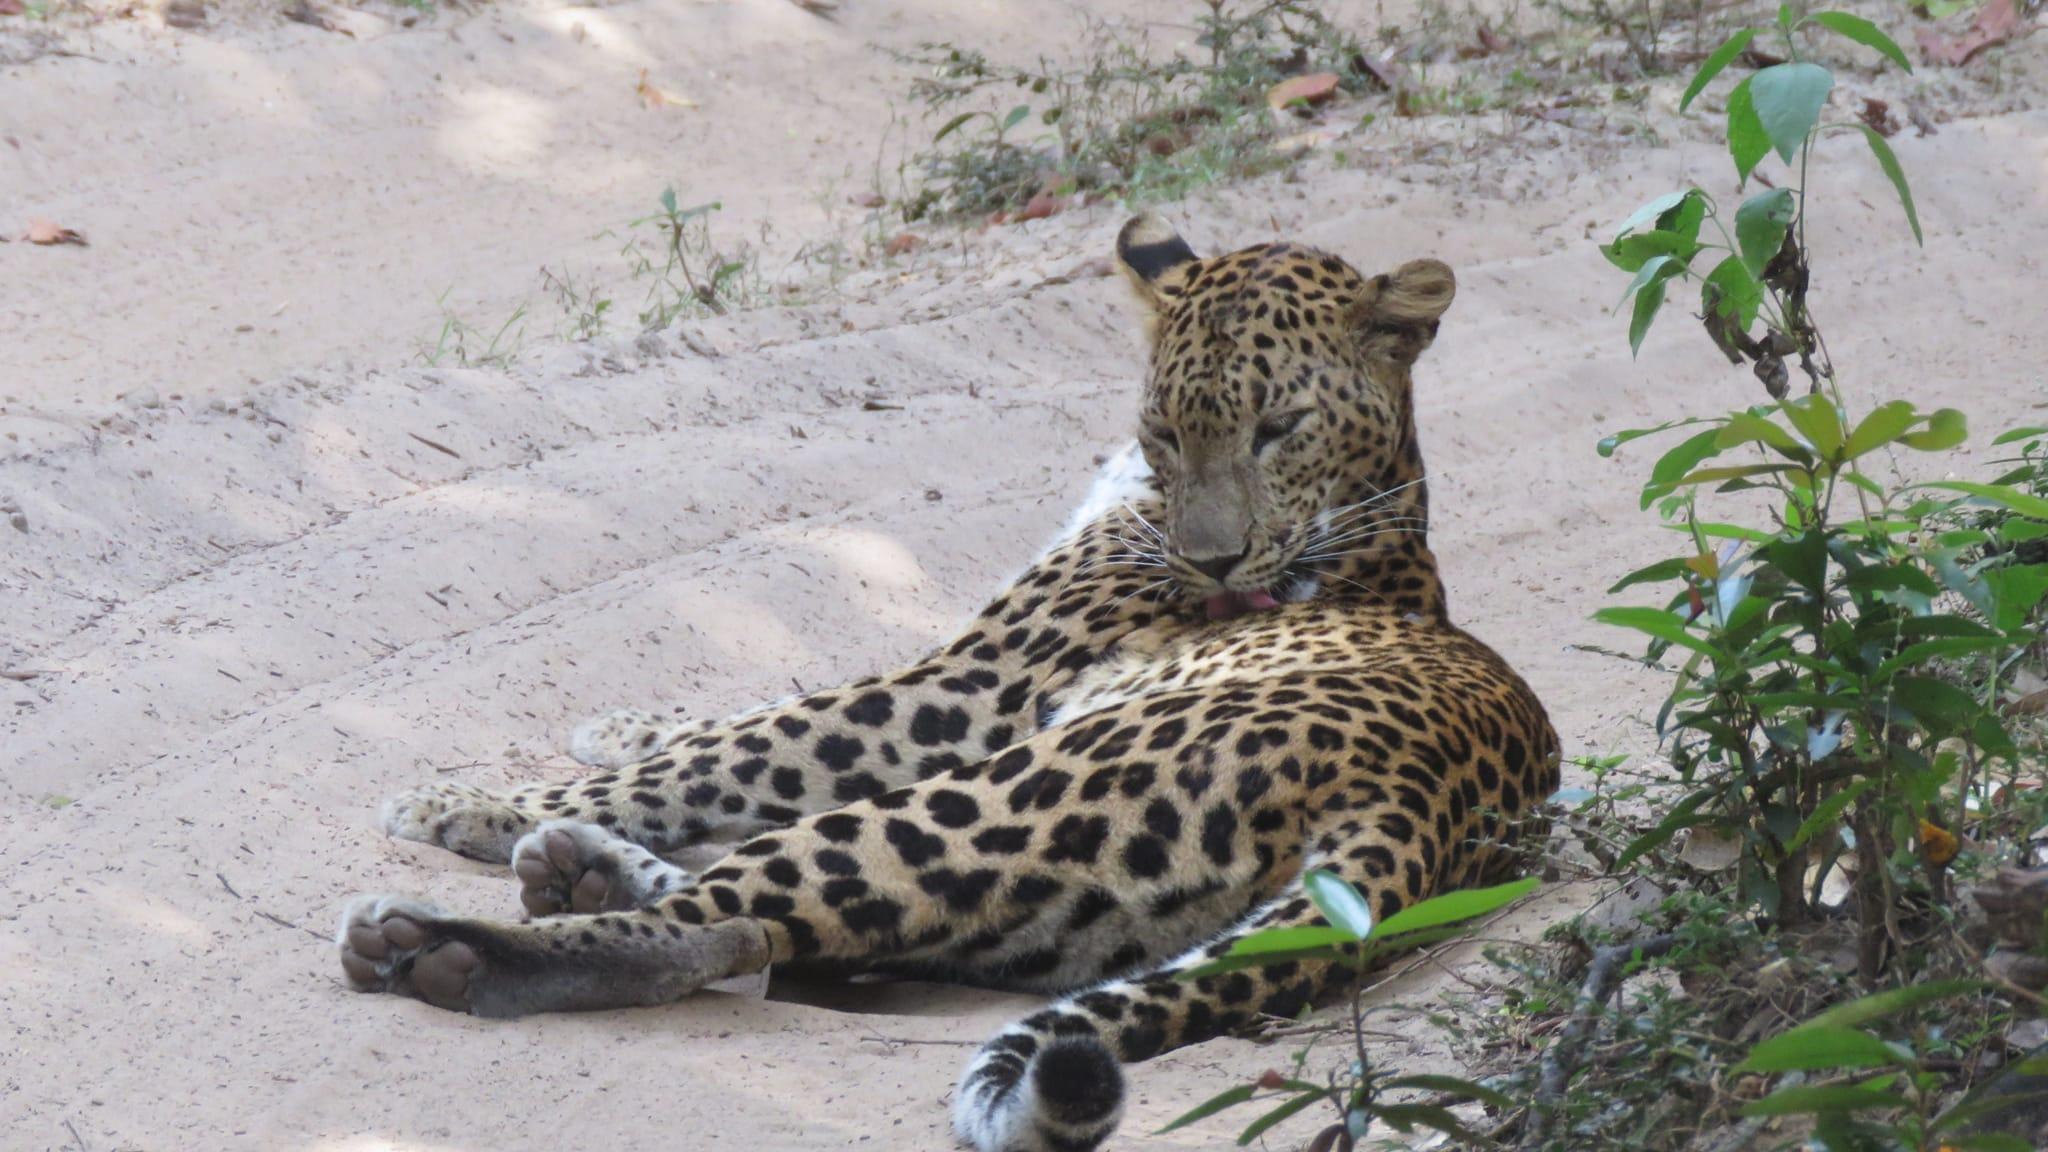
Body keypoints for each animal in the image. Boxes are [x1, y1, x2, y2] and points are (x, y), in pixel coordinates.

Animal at [336, 214, 1559, 1152]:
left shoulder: (966, 689)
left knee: (725, 928)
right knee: (787, 929)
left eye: (1279, 427)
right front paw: (618, 730)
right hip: (1050, 904)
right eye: (1165, 429)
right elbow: (733, 720)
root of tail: (1424, 811)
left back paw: (441, 944)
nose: (1212, 567)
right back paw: (572, 872)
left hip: (1010, 784)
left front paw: (466, 801)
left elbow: (757, 738)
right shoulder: (959, 678)